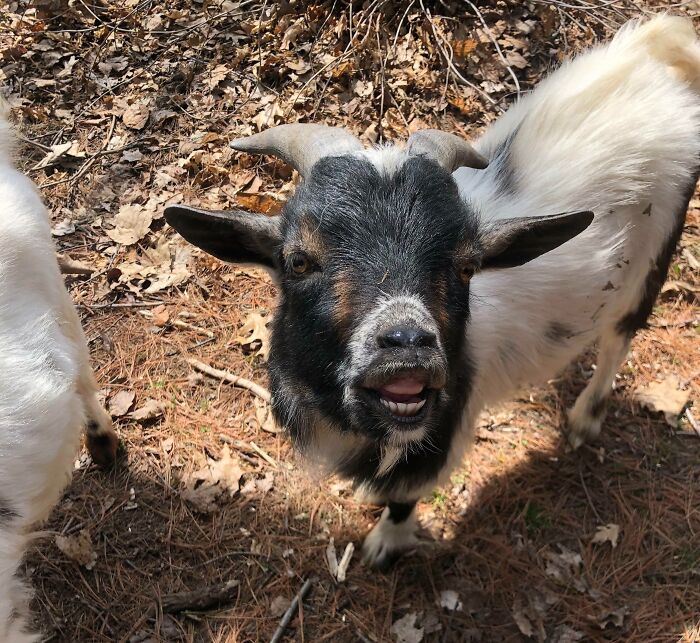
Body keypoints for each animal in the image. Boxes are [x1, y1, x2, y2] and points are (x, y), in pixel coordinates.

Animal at [165, 16, 700, 570]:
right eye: (298, 260)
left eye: (467, 266)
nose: (407, 346)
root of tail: (653, 53)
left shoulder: (436, 438)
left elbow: (405, 496)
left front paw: (385, 542)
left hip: (657, 249)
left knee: (621, 335)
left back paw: (583, 419)